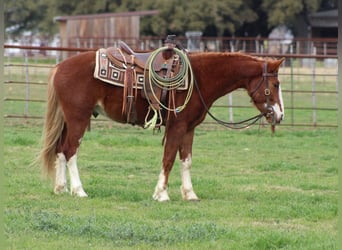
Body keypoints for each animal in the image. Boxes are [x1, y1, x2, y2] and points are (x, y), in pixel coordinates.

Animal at [39, 50, 286, 201]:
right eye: (275, 84)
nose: (280, 115)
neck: (198, 78)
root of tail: (60, 67)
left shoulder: (189, 128)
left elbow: (186, 161)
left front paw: (190, 194)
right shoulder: (176, 126)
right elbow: (168, 159)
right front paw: (162, 194)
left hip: (68, 121)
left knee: (60, 149)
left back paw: (60, 188)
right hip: (78, 119)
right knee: (70, 151)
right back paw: (78, 190)